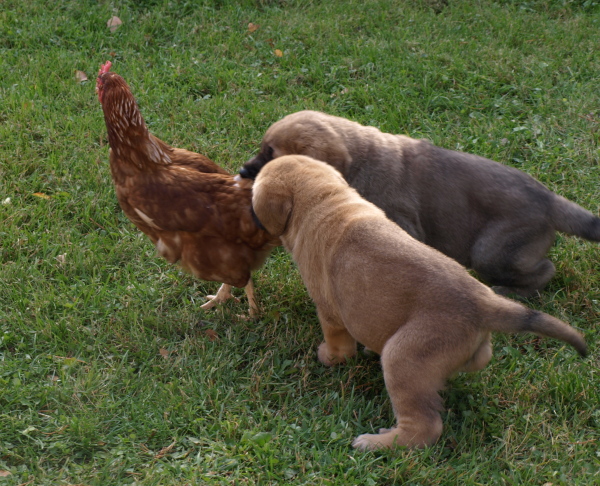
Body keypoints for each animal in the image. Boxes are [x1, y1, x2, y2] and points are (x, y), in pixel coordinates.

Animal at [240, 110, 600, 296]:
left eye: (272, 155)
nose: (243, 170)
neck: (360, 161)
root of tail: (549, 200)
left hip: (491, 251)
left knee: (544, 271)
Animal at [252, 156, 584, 452]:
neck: (324, 199)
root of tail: (483, 303)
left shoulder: (330, 312)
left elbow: (338, 344)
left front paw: (329, 357)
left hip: (403, 358)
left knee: (425, 427)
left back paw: (377, 443)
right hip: (458, 354)